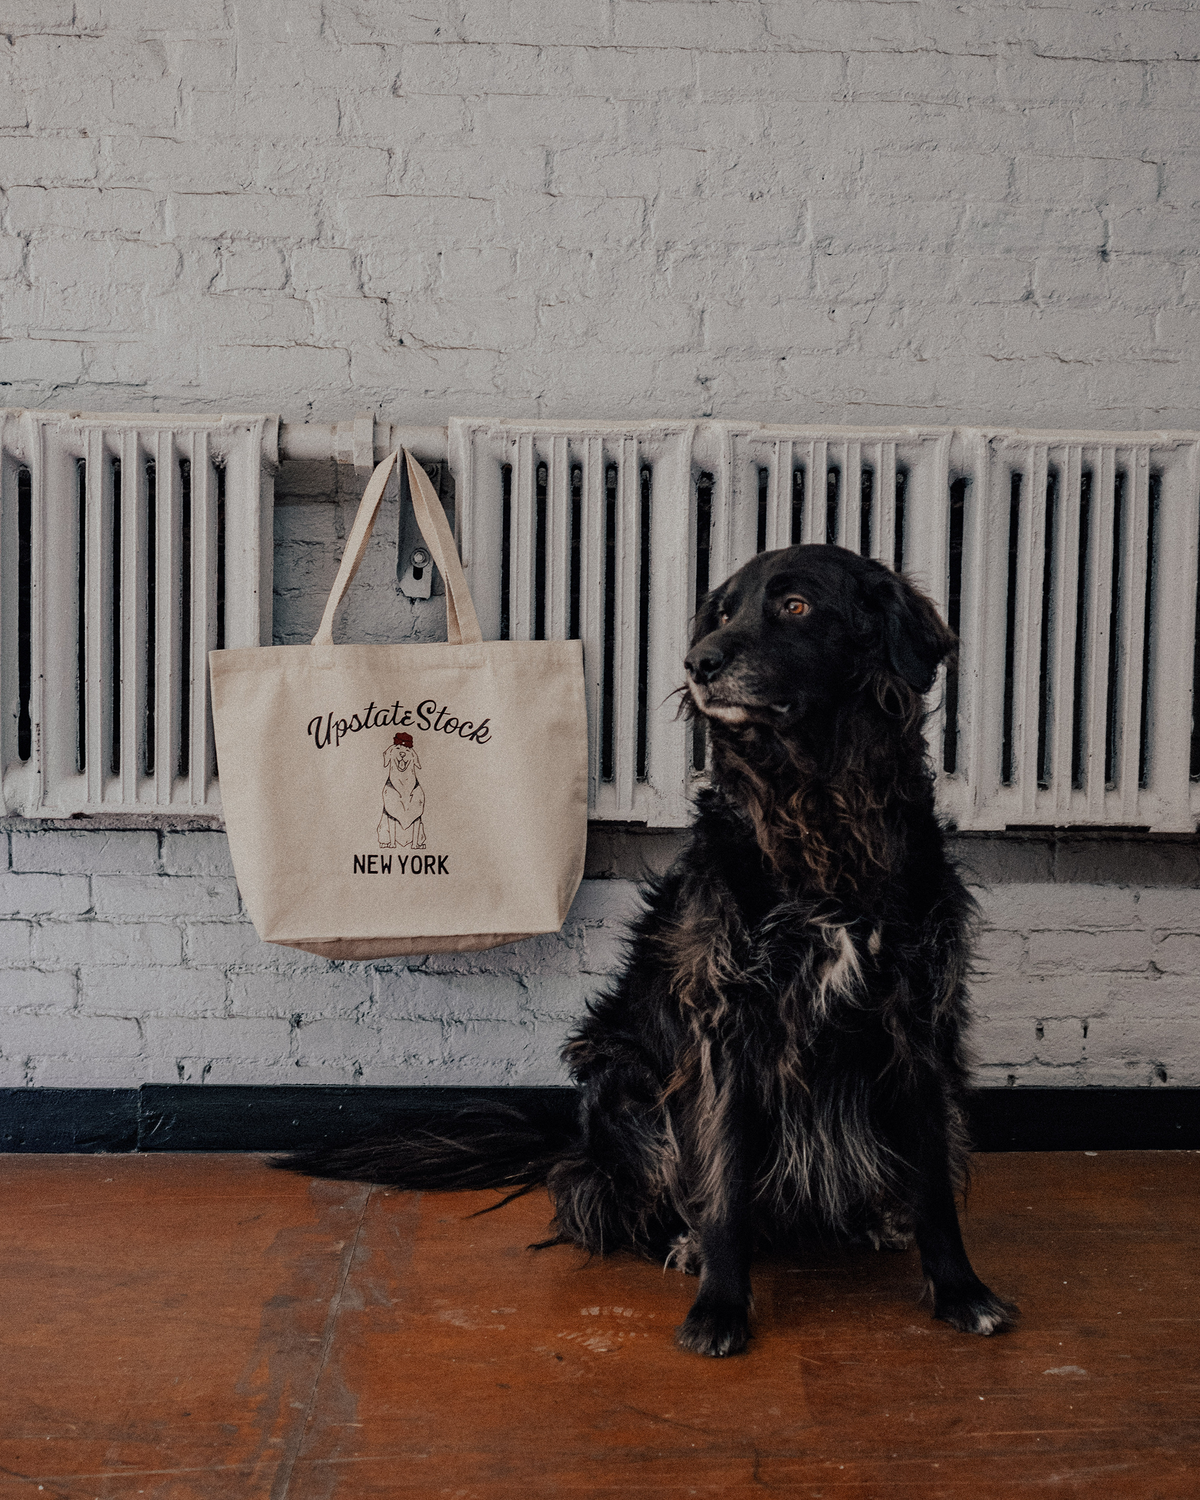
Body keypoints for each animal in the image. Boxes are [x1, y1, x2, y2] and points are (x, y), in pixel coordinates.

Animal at [283, 546, 1020, 1356]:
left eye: (794, 605)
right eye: (721, 612)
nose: (699, 662)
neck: (818, 811)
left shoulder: (917, 1015)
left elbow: (935, 1181)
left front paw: (961, 1291)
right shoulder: (725, 1023)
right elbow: (724, 1186)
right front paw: (720, 1306)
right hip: (626, 1080)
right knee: (620, 1198)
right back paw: (683, 1239)